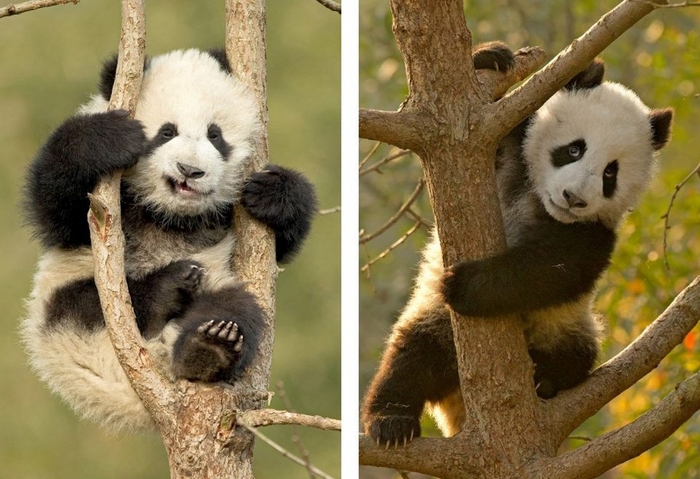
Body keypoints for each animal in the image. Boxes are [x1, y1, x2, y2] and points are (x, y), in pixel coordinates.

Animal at [21, 48, 318, 432]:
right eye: (166, 132)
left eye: (215, 136)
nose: (189, 170)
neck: (170, 214)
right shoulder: (100, 211)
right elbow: (53, 205)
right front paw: (108, 138)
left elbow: (283, 242)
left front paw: (274, 193)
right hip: (60, 309)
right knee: (84, 302)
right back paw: (169, 287)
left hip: (217, 286)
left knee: (236, 309)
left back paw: (208, 347)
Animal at [360, 44, 672, 446]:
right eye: (574, 150)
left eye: (610, 173)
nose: (574, 198)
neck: (537, 196)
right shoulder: (504, 150)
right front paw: (490, 57)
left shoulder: (593, 234)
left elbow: (550, 271)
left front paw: (466, 285)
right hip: (432, 319)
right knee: (411, 358)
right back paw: (391, 422)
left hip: (567, 326)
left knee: (575, 354)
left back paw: (545, 380)